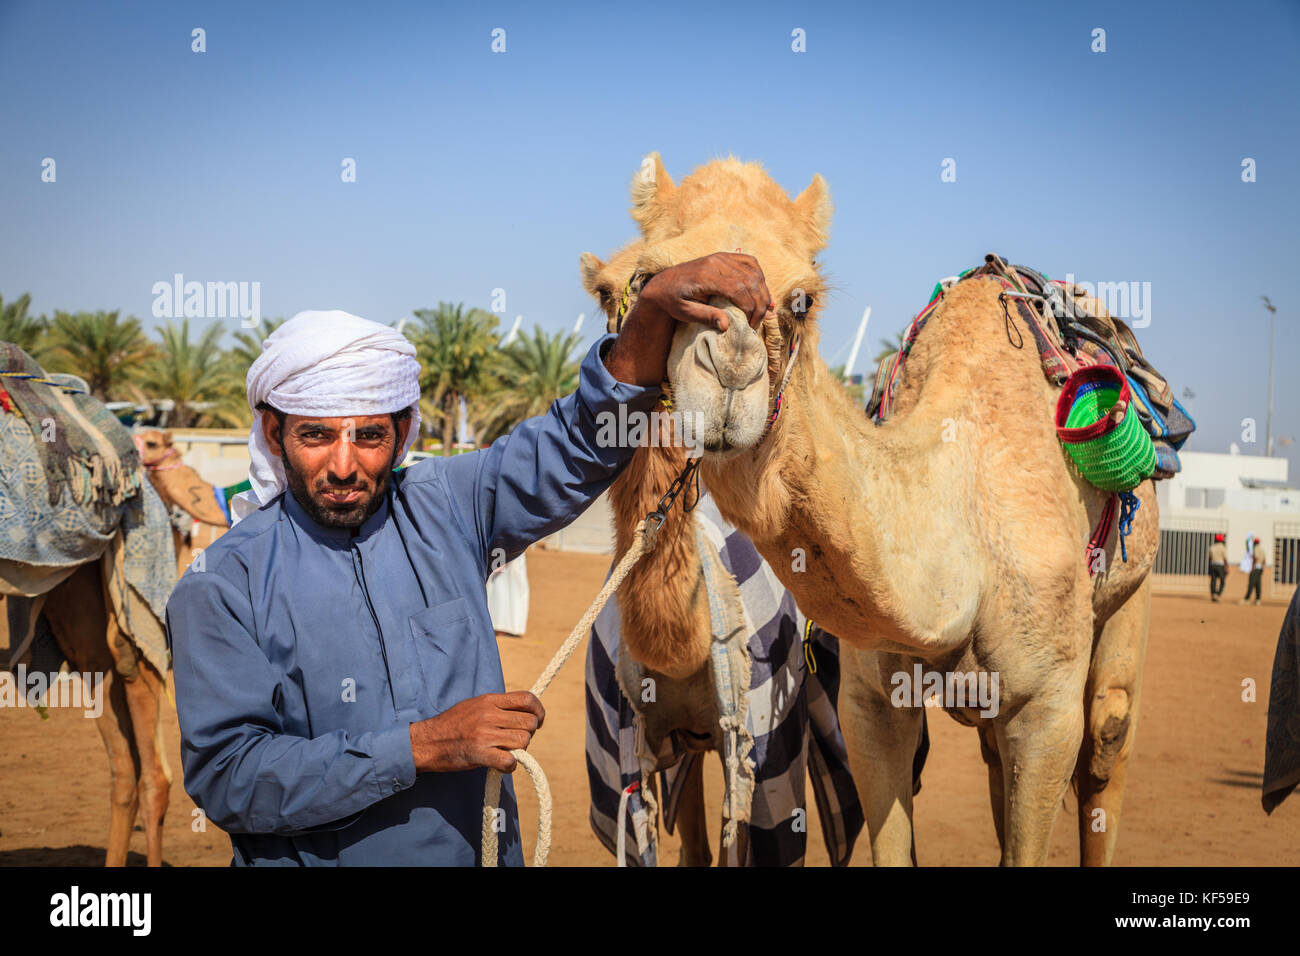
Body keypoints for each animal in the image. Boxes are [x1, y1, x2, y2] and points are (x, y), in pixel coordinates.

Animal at [598, 151, 1159, 868]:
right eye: (649, 280)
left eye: (802, 299)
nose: (727, 375)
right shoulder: (870, 701)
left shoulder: (1048, 706)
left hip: (1126, 585)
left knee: (1109, 736)